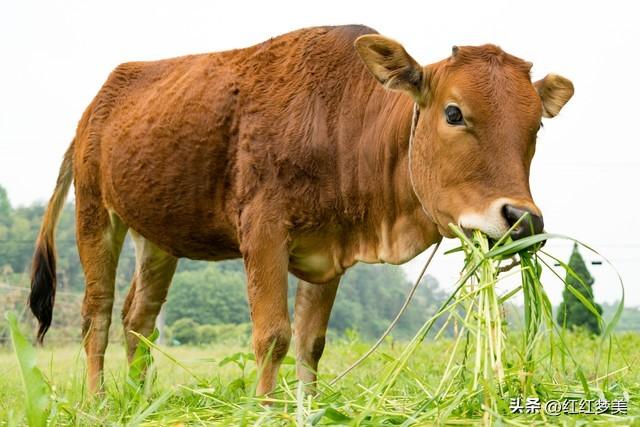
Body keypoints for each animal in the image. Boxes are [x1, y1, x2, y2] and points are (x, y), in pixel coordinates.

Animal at [27, 25, 572, 396]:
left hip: (158, 238)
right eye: (454, 113)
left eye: (537, 127)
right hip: (96, 213)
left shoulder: (327, 254)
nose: (522, 219)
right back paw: (98, 402)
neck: (342, 123)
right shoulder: (263, 231)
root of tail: (96, 106)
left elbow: (311, 345)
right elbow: (273, 337)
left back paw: (142, 401)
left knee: (138, 319)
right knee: (95, 316)